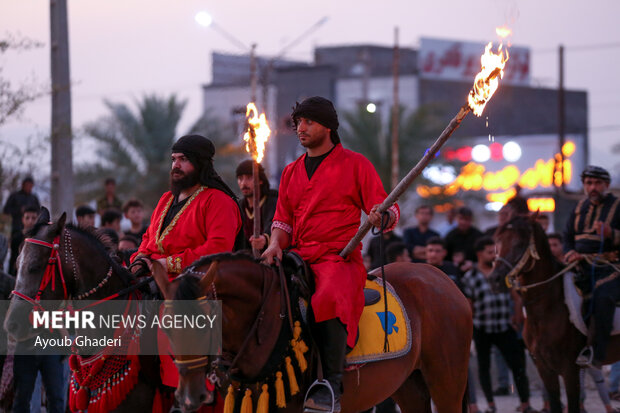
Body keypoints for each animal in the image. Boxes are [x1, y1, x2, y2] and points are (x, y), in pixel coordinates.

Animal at [153, 251, 472, 412]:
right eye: (167, 326)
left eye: (205, 322)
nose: (189, 397)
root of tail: (443, 279)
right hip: (408, 383)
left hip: (447, 381)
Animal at [490, 214, 620, 410]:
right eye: (497, 241)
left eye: (520, 244)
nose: (494, 279)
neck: (546, 309)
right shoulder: (545, 369)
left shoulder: (570, 370)